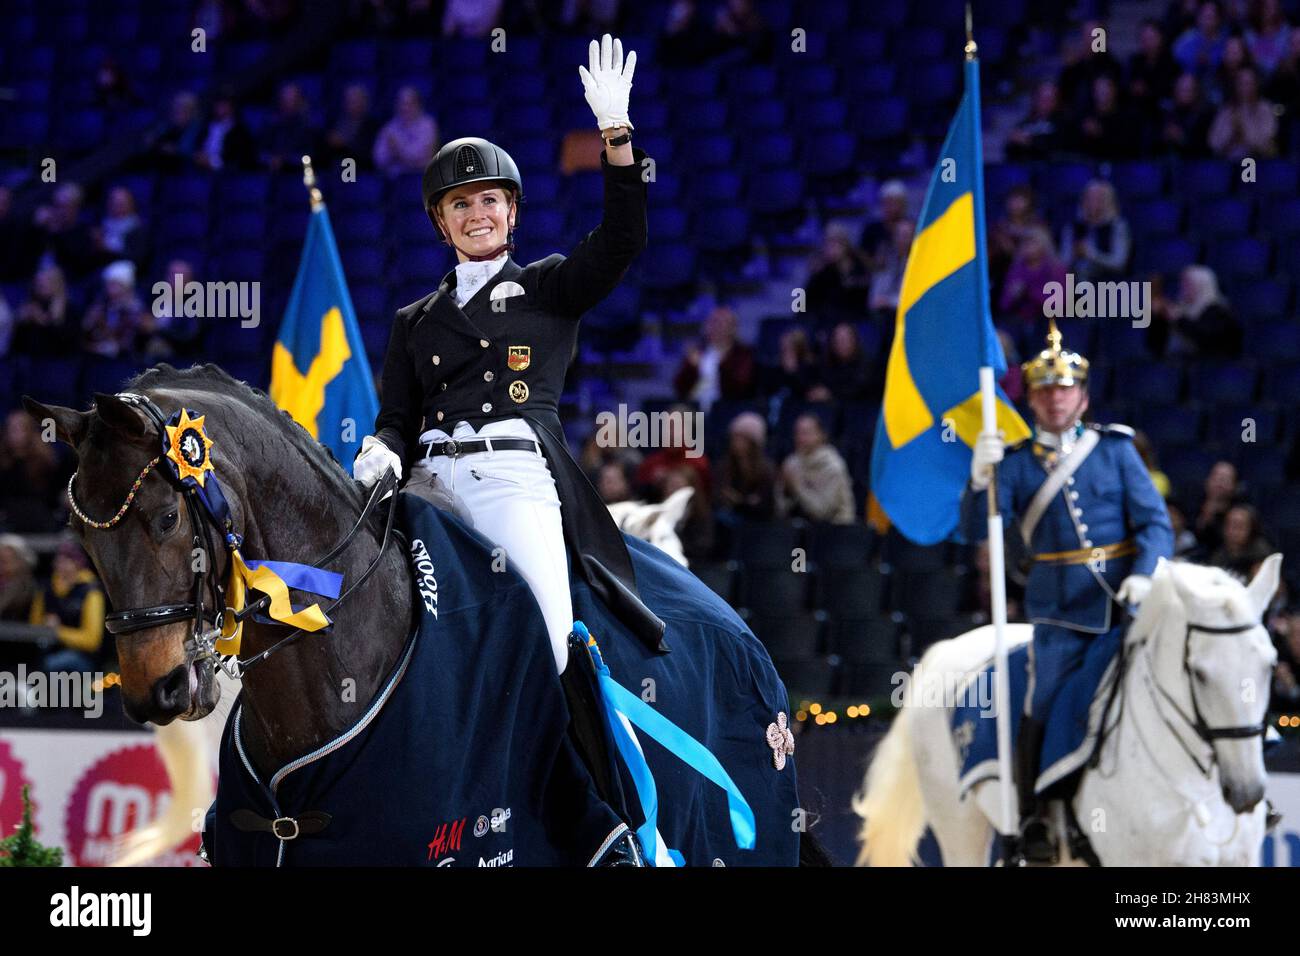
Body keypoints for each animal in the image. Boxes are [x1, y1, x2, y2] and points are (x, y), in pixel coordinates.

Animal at [852, 554, 1279, 868]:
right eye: (1199, 673)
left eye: (1271, 665)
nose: (1246, 793)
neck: (1195, 787)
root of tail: (948, 647)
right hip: (959, 826)